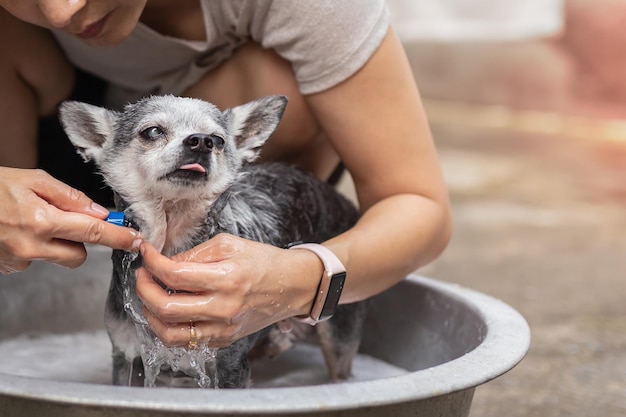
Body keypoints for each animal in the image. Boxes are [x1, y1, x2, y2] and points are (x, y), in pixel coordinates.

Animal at [58, 94, 366, 386]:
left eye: (218, 140)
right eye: (153, 131)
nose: (201, 141)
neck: (171, 240)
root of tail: (345, 202)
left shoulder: (229, 366)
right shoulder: (126, 355)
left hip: (338, 336)